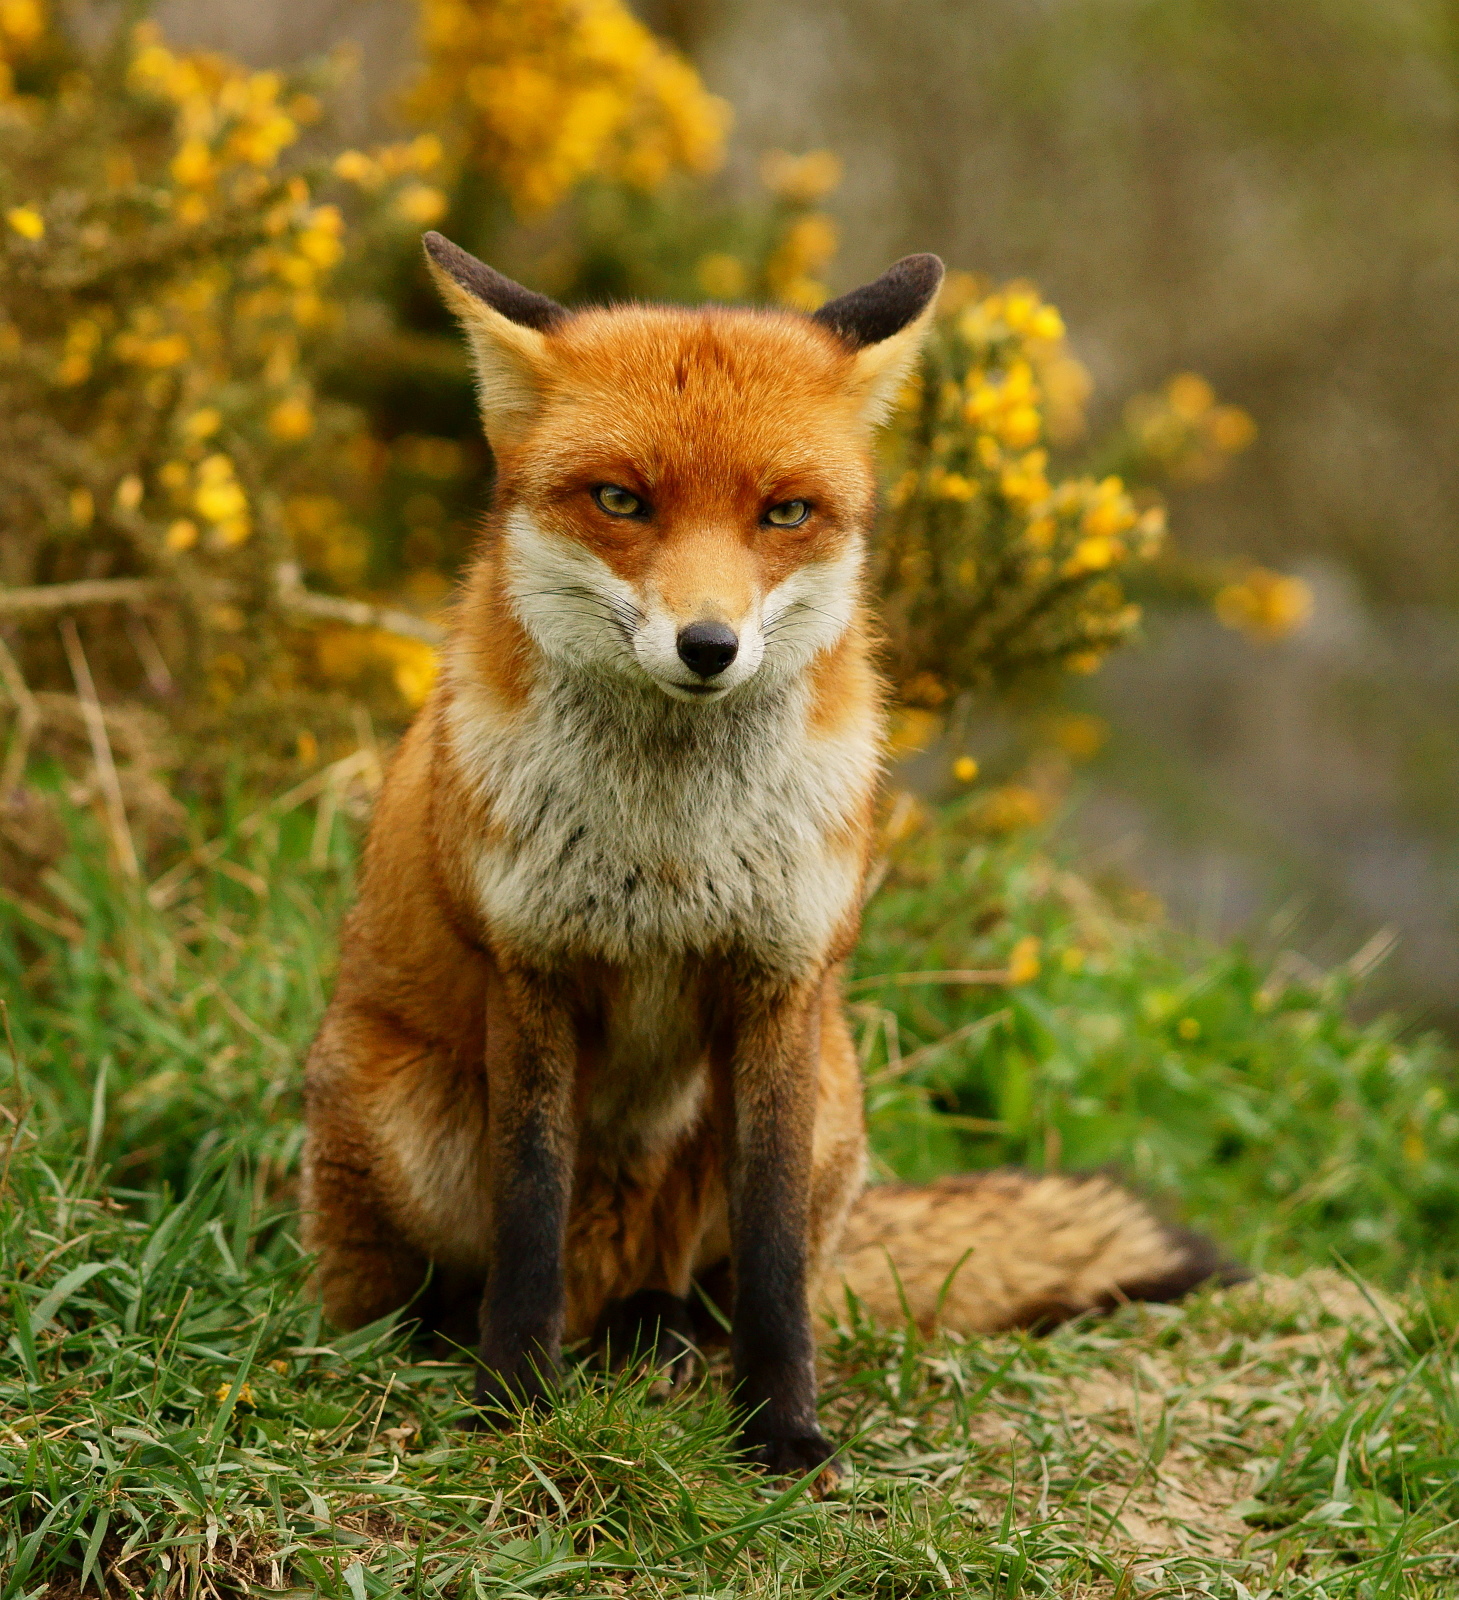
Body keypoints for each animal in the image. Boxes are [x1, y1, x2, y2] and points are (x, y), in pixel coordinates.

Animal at [302, 232, 1235, 1478]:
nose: (708, 645)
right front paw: (513, 1404)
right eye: (620, 500)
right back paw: (440, 1344)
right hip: (395, 1105)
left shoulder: (778, 983)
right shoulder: (534, 970)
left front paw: (782, 1430)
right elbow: (529, 1221)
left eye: (785, 512)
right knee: (438, 1282)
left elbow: (778, 1257)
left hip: (836, 1092)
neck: (671, 850)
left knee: (710, 1286)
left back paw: (663, 1342)